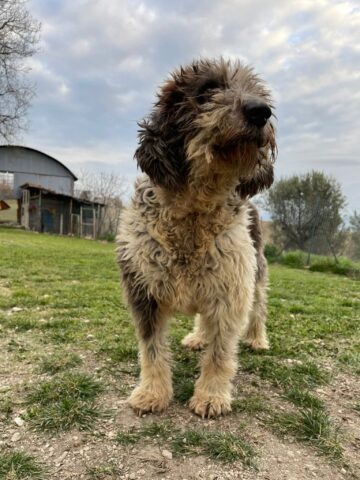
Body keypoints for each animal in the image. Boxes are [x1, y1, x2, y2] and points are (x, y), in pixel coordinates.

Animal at [116, 58, 278, 418]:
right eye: (208, 90)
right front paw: (152, 393)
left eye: (259, 92)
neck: (194, 210)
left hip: (254, 275)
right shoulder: (143, 292)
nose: (261, 111)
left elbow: (220, 354)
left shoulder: (232, 290)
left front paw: (211, 396)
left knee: (258, 310)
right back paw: (197, 337)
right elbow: (151, 349)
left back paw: (257, 339)